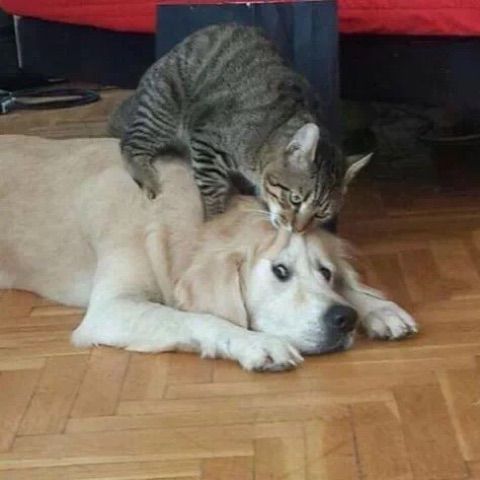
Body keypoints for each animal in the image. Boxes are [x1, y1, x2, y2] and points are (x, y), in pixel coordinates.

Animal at [0, 135, 417, 371]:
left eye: (326, 272)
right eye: (280, 271)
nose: (343, 320)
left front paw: (376, 307)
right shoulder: (110, 309)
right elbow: (196, 318)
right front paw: (255, 344)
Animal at [109, 23, 370, 231]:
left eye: (321, 214)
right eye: (295, 199)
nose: (297, 230)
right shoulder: (207, 142)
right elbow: (212, 191)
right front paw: (214, 222)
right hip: (164, 107)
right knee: (130, 144)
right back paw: (148, 178)